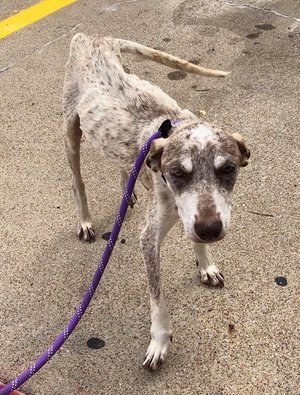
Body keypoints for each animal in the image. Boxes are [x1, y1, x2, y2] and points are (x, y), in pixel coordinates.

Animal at [62, 34, 250, 372]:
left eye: (228, 169)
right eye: (177, 173)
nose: (211, 230)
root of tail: (93, 37)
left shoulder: (195, 218)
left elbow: (196, 240)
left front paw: (205, 265)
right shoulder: (149, 239)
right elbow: (158, 300)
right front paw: (159, 342)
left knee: (122, 166)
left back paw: (128, 191)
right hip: (71, 132)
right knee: (77, 181)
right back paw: (84, 219)